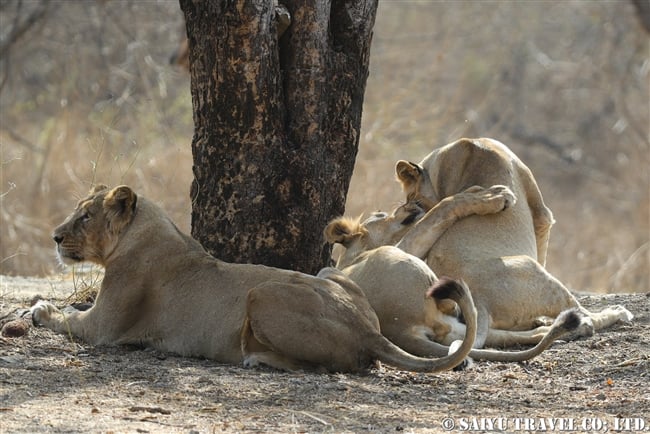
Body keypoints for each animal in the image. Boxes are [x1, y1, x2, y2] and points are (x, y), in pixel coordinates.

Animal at [30, 183, 476, 372]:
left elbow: (66, 319)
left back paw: (257, 358)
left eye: (85, 216)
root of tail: (370, 329)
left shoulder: (104, 328)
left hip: (263, 292)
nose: (54, 237)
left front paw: (39, 309)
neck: (144, 228)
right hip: (335, 277)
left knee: (327, 366)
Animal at [324, 185, 584, 362]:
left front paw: (480, 190)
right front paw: (493, 196)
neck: (352, 256)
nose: (411, 202)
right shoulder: (405, 245)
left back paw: (547, 329)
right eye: (382, 214)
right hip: (399, 260)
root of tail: (400, 329)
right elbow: (441, 209)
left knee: (490, 335)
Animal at [378, 137, 632, 348]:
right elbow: (543, 245)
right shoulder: (542, 214)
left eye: (414, 201)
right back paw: (615, 313)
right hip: (534, 270)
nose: (410, 211)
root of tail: (479, 300)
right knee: (583, 314)